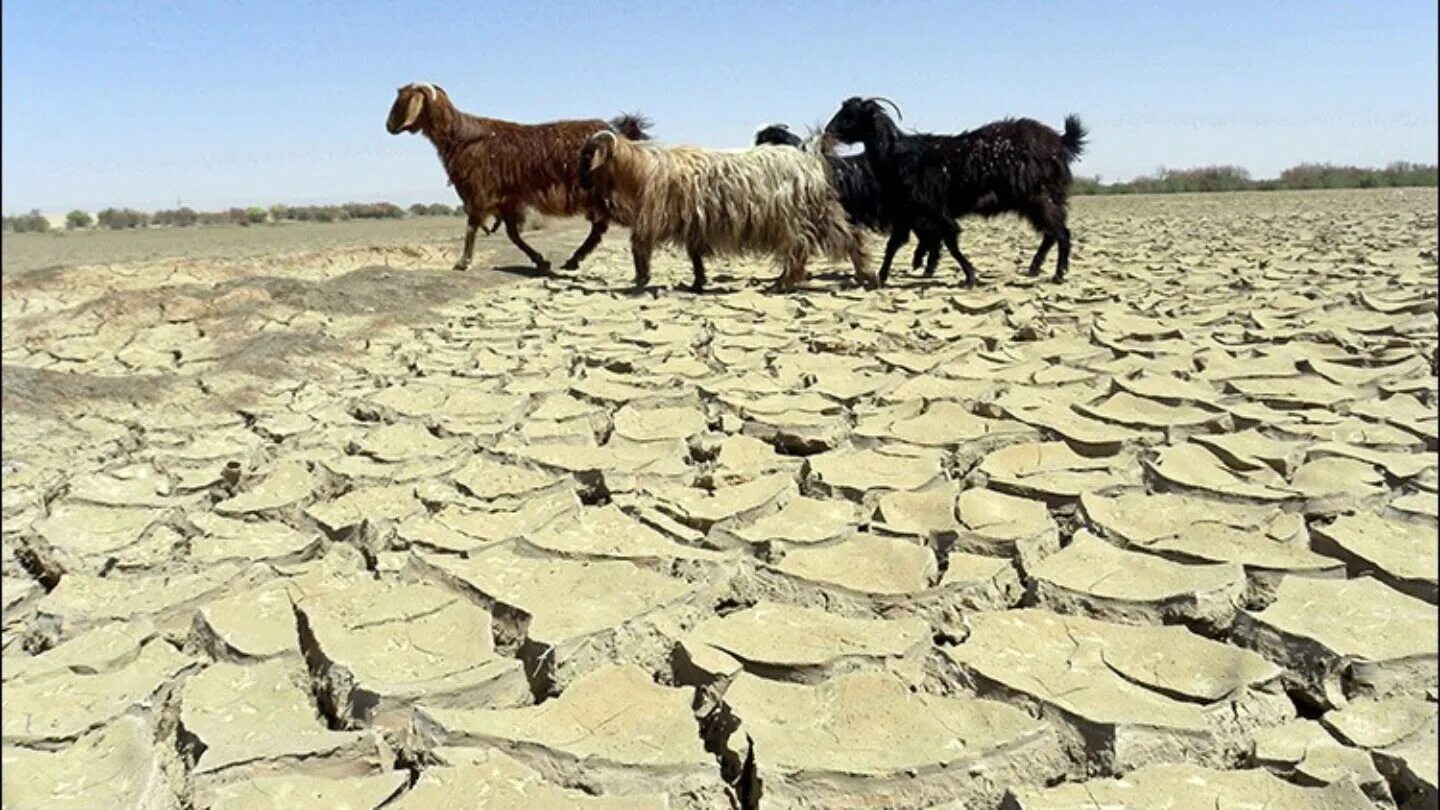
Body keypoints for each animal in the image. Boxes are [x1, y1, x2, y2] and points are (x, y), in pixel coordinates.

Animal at [385, 82, 650, 272]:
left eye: (402, 100)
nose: (388, 126)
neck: (461, 137)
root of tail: (618, 134)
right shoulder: (508, 199)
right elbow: (513, 234)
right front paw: (540, 260)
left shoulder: (479, 192)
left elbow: (472, 226)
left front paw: (463, 262)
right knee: (599, 228)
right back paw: (573, 261)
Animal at [576, 132, 869, 292]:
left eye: (589, 154)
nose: (580, 183)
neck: (643, 170)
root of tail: (812, 160)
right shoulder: (693, 222)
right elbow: (694, 254)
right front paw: (697, 283)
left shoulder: (653, 218)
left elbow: (639, 247)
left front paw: (640, 279)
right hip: (822, 212)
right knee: (849, 236)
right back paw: (866, 275)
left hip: (794, 216)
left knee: (801, 248)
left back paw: (782, 284)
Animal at [823, 97, 1082, 283]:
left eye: (850, 115)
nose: (827, 131)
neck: (898, 155)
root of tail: (1061, 141)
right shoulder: (908, 213)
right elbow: (894, 245)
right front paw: (881, 277)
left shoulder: (934, 210)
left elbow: (949, 241)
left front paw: (969, 276)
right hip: (1040, 200)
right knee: (1052, 233)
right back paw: (1035, 268)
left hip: (1039, 197)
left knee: (1061, 233)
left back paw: (1058, 274)